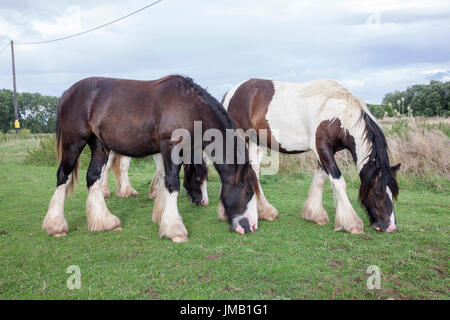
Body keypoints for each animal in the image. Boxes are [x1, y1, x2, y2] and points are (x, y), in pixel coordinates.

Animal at [43, 75, 260, 241]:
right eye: (249, 192)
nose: (251, 226)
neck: (189, 106)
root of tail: (68, 93)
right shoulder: (171, 147)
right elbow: (172, 183)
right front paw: (175, 230)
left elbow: (164, 179)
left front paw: (161, 216)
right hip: (73, 142)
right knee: (63, 176)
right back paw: (56, 226)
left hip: (99, 146)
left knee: (93, 178)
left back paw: (105, 222)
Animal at [221, 77, 400, 232]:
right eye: (378, 193)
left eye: (393, 192)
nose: (390, 226)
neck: (337, 114)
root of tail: (231, 92)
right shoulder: (323, 148)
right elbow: (338, 182)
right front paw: (351, 223)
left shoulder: (326, 152)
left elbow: (320, 179)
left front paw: (314, 214)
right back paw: (227, 213)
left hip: (257, 142)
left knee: (254, 171)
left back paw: (265, 211)